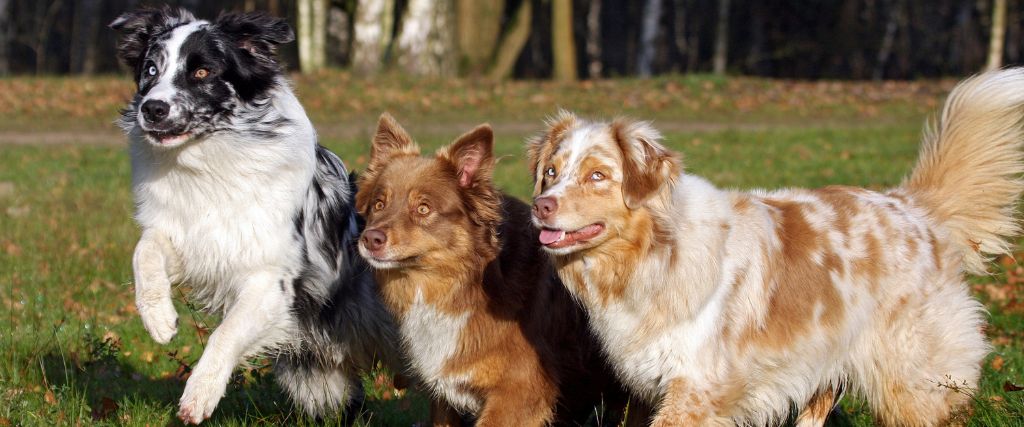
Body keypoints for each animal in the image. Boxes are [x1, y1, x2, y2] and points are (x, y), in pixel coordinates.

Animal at [110, 8, 397, 423]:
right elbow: (144, 251)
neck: (209, 164)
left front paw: (199, 394)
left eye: (202, 72)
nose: (153, 108)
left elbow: (225, 333)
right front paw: (158, 318)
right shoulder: (191, 238)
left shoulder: (271, 281)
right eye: (150, 69)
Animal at [356, 114, 626, 425]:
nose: (370, 239)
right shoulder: (444, 399)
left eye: (423, 209)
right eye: (379, 204)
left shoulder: (518, 393)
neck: (465, 284)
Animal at [528, 68, 1024, 423]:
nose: (540, 206)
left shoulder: (695, 388)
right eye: (551, 172)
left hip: (908, 377)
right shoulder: (651, 389)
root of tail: (910, 204)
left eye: (598, 175)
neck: (653, 256)